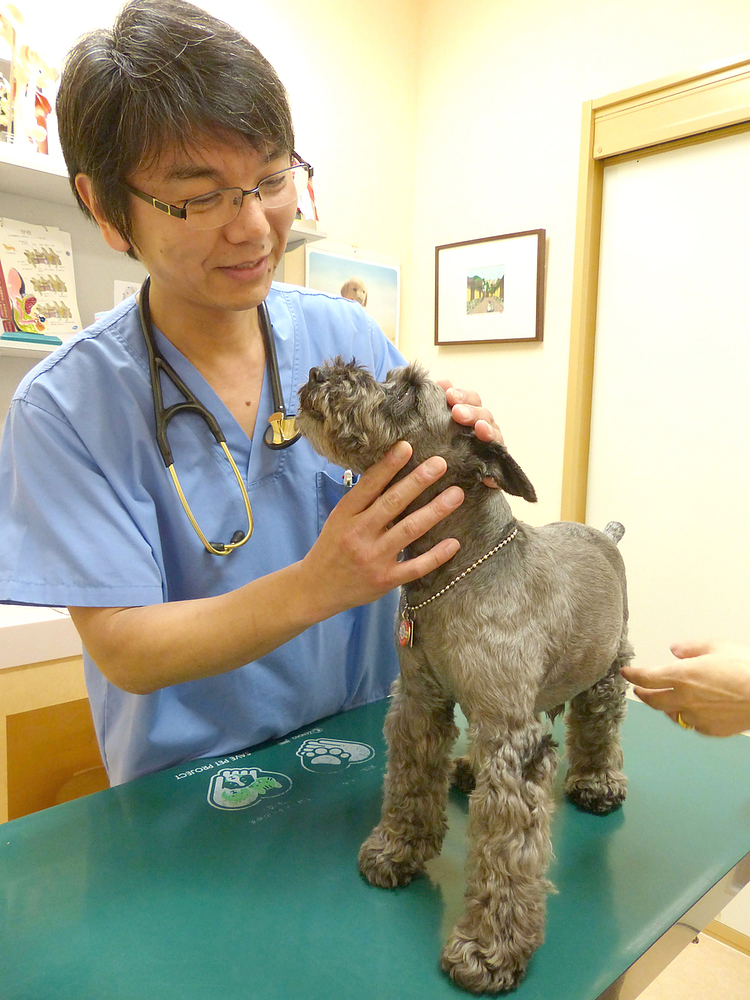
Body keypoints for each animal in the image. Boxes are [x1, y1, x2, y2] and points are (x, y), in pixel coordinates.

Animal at [296, 358, 632, 992]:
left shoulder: (512, 741)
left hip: (605, 670)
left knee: (599, 728)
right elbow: (408, 784)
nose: (319, 373)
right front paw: (398, 850)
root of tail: (606, 535)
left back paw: (597, 783)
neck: (460, 570)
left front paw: (490, 948)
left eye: (406, 392)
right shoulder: (418, 703)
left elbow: (506, 853)